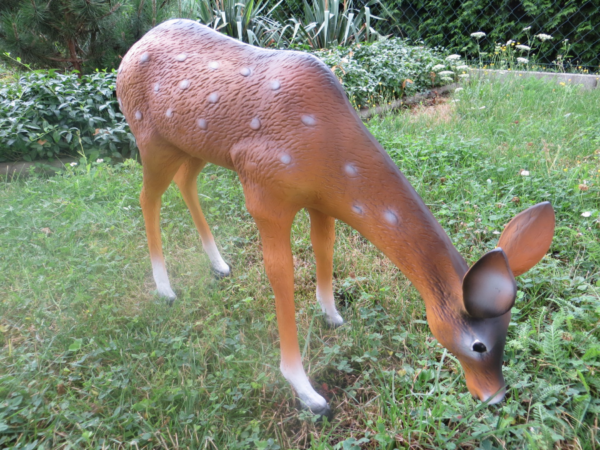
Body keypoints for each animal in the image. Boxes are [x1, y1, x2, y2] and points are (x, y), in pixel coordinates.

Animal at [115, 20, 556, 414]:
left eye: (507, 331)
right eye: (478, 344)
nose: (494, 396)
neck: (326, 146)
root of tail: (132, 49)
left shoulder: (320, 200)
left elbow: (324, 248)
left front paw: (332, 317)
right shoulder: (263, 190)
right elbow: (281, 274)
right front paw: (308, 394)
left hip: (189, 144)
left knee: (185, 182)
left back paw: (219, 265)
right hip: (150, 136)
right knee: (146, 198)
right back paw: (165, 289)